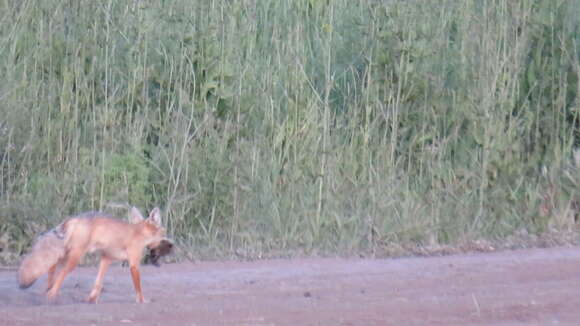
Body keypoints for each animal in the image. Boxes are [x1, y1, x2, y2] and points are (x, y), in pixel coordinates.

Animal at [18, 206, 167, 304]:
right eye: (163, 233)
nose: (169, 242)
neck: (140, 233)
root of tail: (73, 218)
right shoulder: (134, 264)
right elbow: (138, 288)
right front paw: (142, 300)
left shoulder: (106, 258)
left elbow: (98, 282)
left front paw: (91, 299)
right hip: (74, 259)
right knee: (60, 273)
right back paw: (52, 293)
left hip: (66, 255)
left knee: (51, 266)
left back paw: (49, 289)